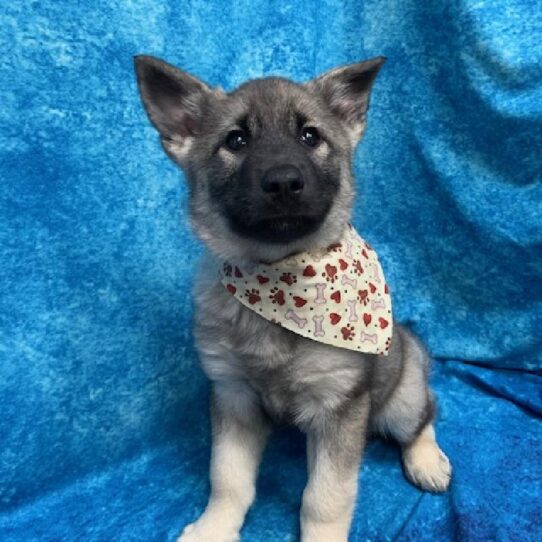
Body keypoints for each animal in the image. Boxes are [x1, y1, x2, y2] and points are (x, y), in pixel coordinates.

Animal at [136, 56, 454, 542]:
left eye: (310, 136)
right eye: (236, 140)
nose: (284, 183)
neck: (280, 285)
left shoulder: (338, 409)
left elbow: (324, 496)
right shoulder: (234, 396)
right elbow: (227, 477)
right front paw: (215, 526)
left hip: (401, 398)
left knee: (423, 415)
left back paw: (427, 460)